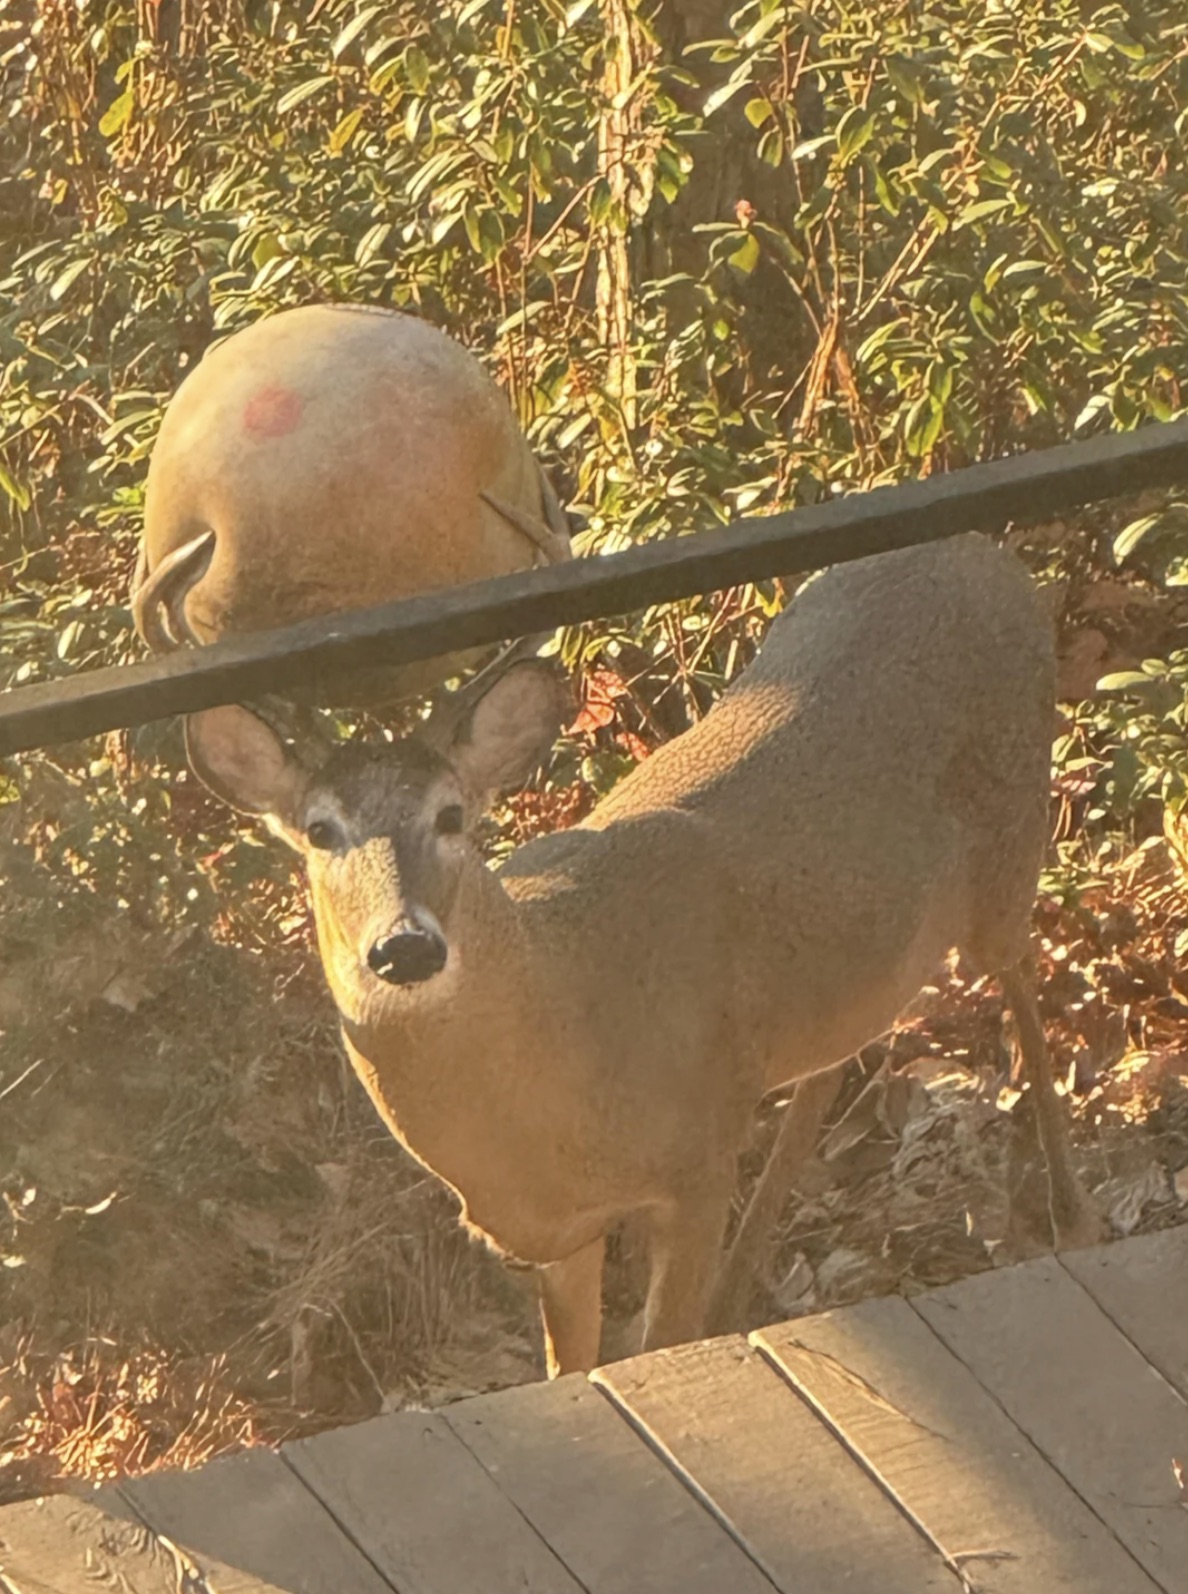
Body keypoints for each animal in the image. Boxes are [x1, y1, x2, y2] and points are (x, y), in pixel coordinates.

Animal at [180, 538, 1097, 1383]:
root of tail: (988, 556)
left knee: (1018, 968)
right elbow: (572, 1366)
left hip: (1011, 841)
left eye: (451, 816)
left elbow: (661, 1344)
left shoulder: (696, 1162)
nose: (405, 945)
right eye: (320, 830)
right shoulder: (561, 1234)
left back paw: (1068, 1204)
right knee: (844, 1046)